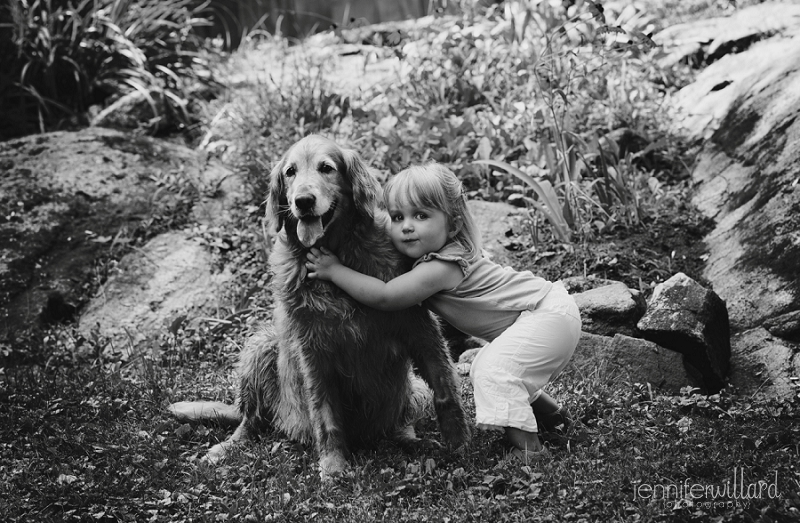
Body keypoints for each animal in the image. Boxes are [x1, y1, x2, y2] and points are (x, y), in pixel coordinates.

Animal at [169, 137, 468, 482]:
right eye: (290, 172)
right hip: (262, 346)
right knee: (250, 422)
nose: (303, 201)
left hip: (411, 393)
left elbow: (445, 388)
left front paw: (458, 441)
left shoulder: (419, 328)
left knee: (399, 423)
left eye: (327, 168)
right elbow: (325, 414)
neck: (338, 253)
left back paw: (410, 439)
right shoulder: (313, 349)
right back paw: (225, 449)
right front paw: (333, 464)